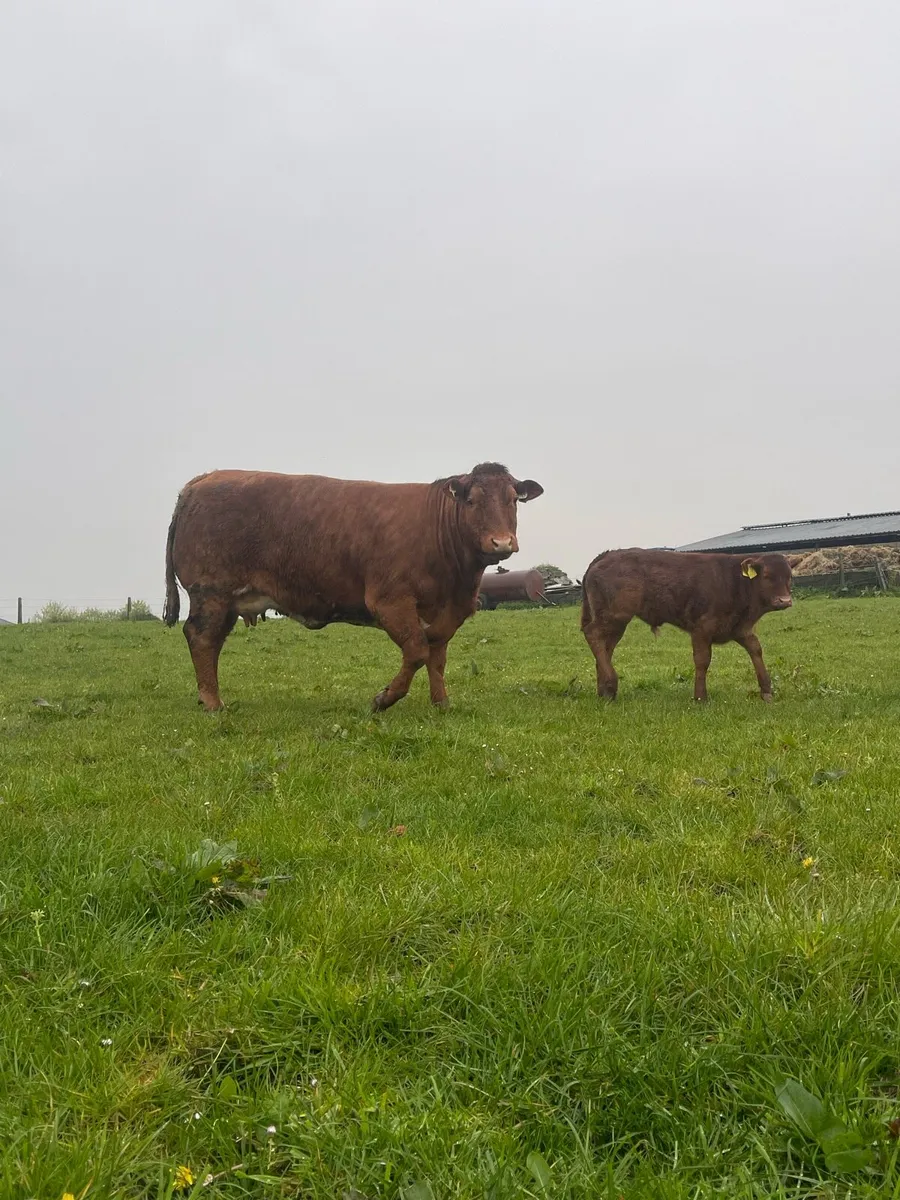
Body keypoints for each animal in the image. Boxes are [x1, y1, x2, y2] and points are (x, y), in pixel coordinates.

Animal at [163, 463, 543, 712]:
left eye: (512, 499)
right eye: (472, 500)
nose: (501, 542)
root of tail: (204, 479)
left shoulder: (447, 613)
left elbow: (437, 658)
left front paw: (442, 704)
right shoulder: (390, 601)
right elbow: (417, 652)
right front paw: (384, 699)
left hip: (225, 600)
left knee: (211, 642)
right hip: (211, 592)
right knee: (201, 638)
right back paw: (213, 702)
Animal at [580, 549, 793, 703]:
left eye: (789, 577)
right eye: (766, 576)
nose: (785, 601)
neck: (734, 581)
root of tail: (607, 555)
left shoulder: (740, 629)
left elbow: (756, 650)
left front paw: (766, 691)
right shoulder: (702, 629)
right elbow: (702, 660)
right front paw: (700, 697)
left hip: (615, 623)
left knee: (605, 648)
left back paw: (604, 691)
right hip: (616, 616)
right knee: (592, 634)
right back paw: (610, 683)